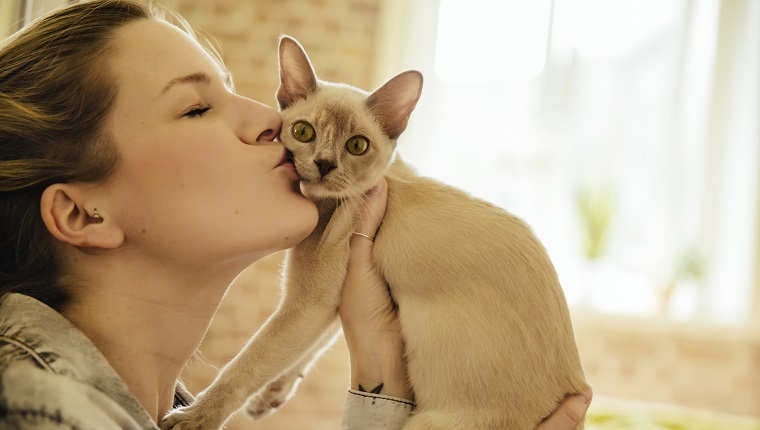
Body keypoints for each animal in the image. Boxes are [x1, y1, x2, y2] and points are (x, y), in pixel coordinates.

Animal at [163, 36, 592, 430]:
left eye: (357, 146)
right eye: (303, 132)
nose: (324, 164)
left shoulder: (309, 302)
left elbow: (247, 364)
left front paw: (195, 416)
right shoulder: (329, 303)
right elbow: (308, 351)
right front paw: (270, 398)